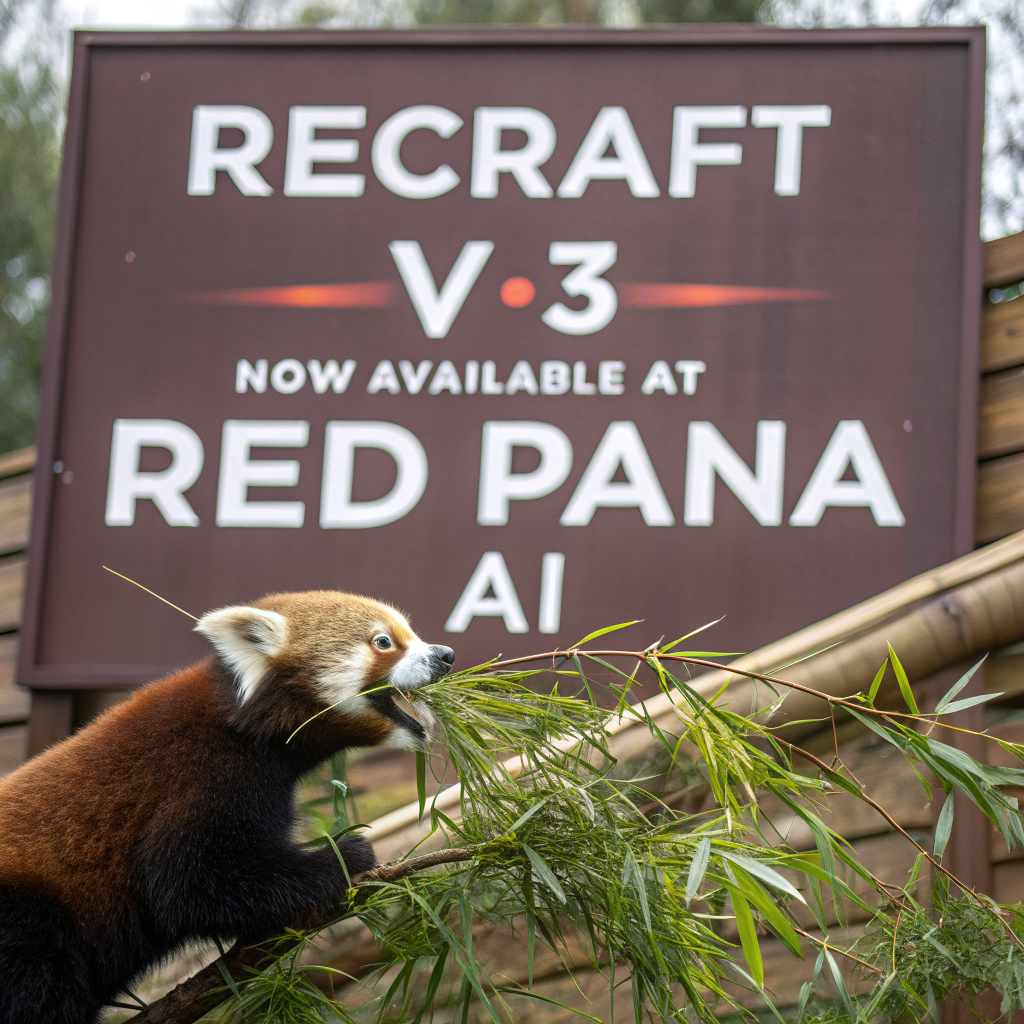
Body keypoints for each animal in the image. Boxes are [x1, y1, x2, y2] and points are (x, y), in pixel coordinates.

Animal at [0, 590, 455, 1024]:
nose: (446, 655)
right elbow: (186, 883)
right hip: (28, 922)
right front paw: (342, 856)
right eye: (384, 642)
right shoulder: (200, 774)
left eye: (410, 634)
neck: (243, 722)